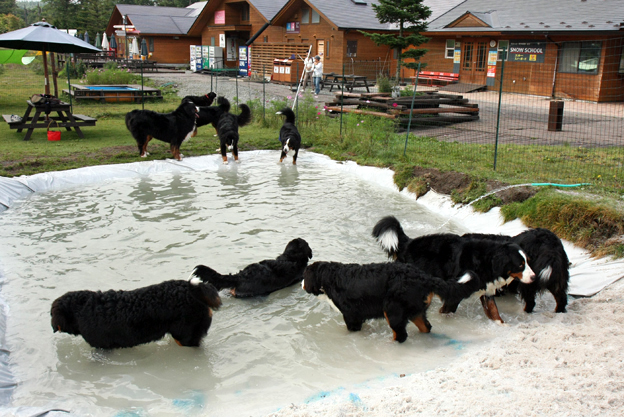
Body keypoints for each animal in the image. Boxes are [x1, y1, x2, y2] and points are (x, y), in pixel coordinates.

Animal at [302, 262, 478, 342]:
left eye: (305, 276)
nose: (301, 283)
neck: (330, 277)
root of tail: (423, 277)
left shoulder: (351, 315)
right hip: (416, 311)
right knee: (426, 327)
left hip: (393, 310)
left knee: (401, 334)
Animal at [370, 216, 536, 324]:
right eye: (520, 265)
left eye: (528, 261)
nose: (534, 277)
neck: (486, 261)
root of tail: (409, 242)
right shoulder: (456, 293)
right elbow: (447, 311)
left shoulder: (487, 291)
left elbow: (495, 313)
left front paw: (501, 324)